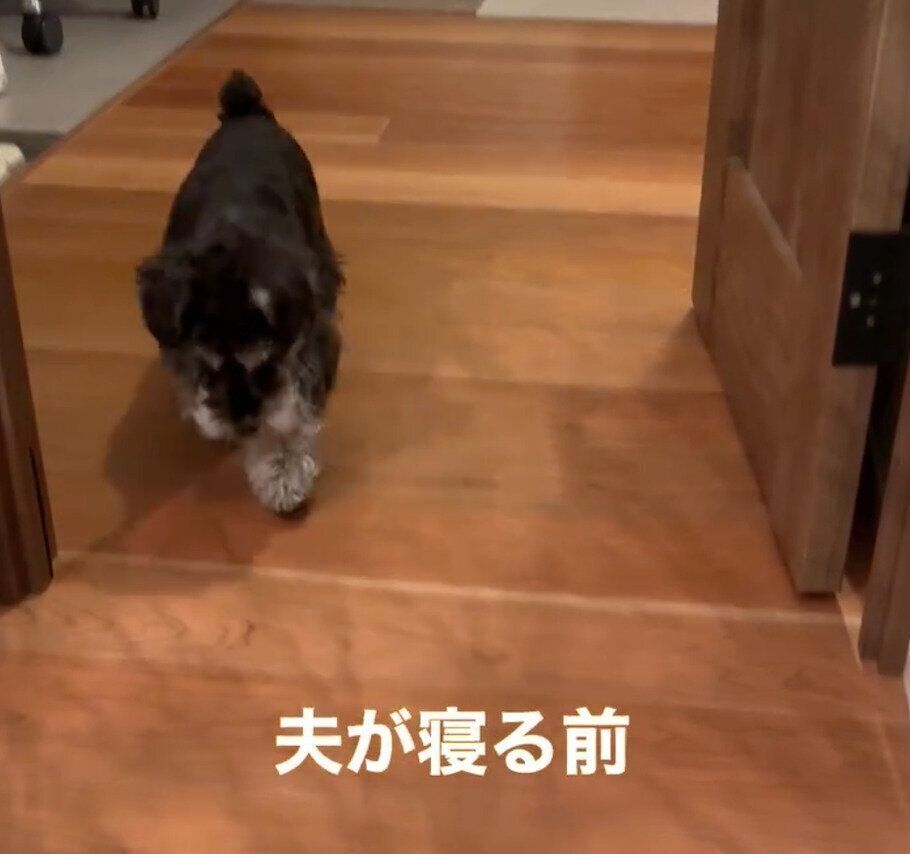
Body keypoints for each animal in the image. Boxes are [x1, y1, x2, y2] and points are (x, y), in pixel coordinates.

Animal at [137, 70, 343, 514]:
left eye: (265, 364)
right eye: (205, 361)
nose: (241, 421)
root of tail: (246, 111)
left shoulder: (301, 349)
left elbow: (291, 412)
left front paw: (283, 472)